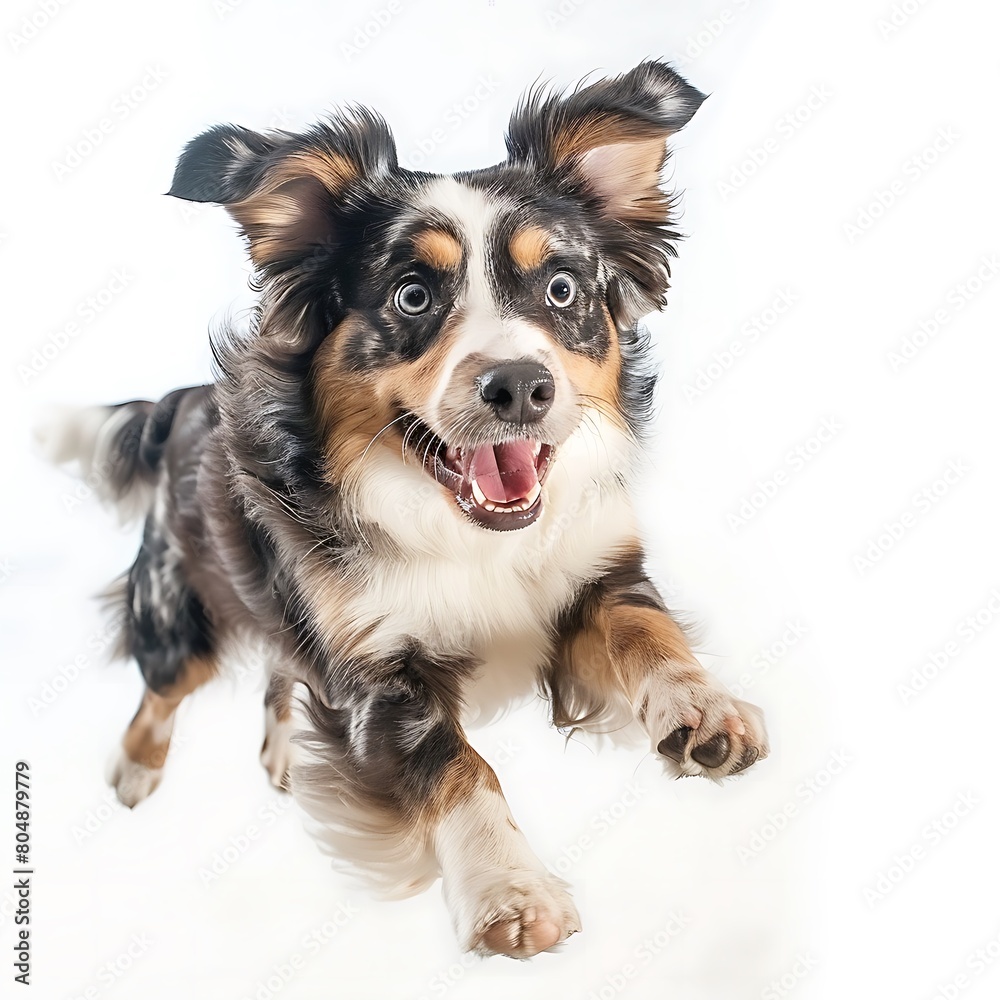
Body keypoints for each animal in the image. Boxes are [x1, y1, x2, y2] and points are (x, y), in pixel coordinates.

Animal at [41, 62, 764, 960]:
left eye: (562, 288)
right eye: (413, 296)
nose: (520, 387)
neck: (473, 535)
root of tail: (180, 403)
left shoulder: (598, 574)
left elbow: (648, 631)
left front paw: (700, 708)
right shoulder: (376, 670)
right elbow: (457, 766)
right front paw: (508, 890)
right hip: (183, 600)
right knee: (166, 683)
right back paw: (137, 768)